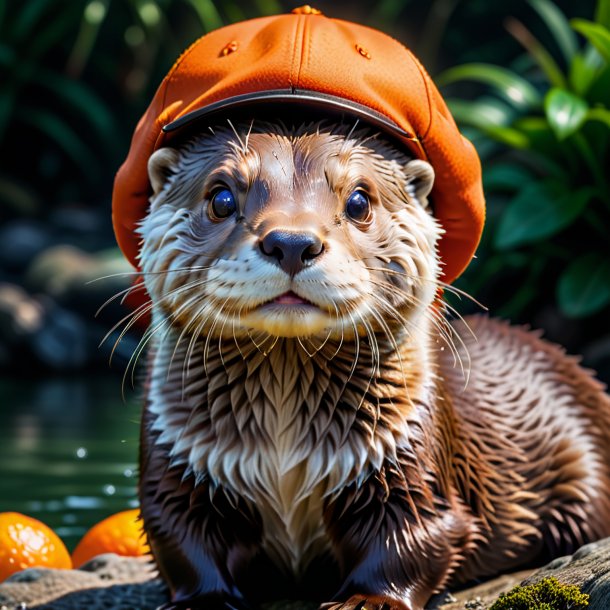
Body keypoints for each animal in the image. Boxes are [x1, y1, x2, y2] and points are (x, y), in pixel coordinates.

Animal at [134, 119, 610, 608]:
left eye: (359, 201)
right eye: (222, 198)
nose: (292, 242)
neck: (283, 451)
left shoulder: (407, 453)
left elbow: (413, 535)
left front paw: (369, 600)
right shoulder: (179, 453)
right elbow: (179, 535)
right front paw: (201, 600)